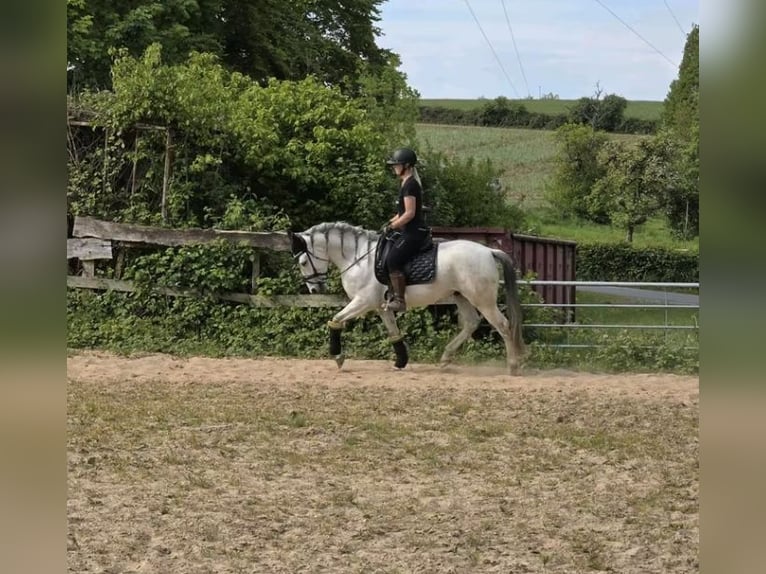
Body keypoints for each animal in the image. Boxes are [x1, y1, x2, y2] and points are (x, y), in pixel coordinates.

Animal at [288, 222, 525, 375]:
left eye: (302, 262)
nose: (314, 289)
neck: (358, 258)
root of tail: (488, 251)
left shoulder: (363, 301)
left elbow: (336, 320)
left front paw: (337, 357)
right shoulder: (381, 307)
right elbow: (394, 334)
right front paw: (400, 362)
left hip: (482, 299)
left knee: (503, 325)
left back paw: (513, 366)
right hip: (461, 297)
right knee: (471, 323)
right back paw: (445, 358)